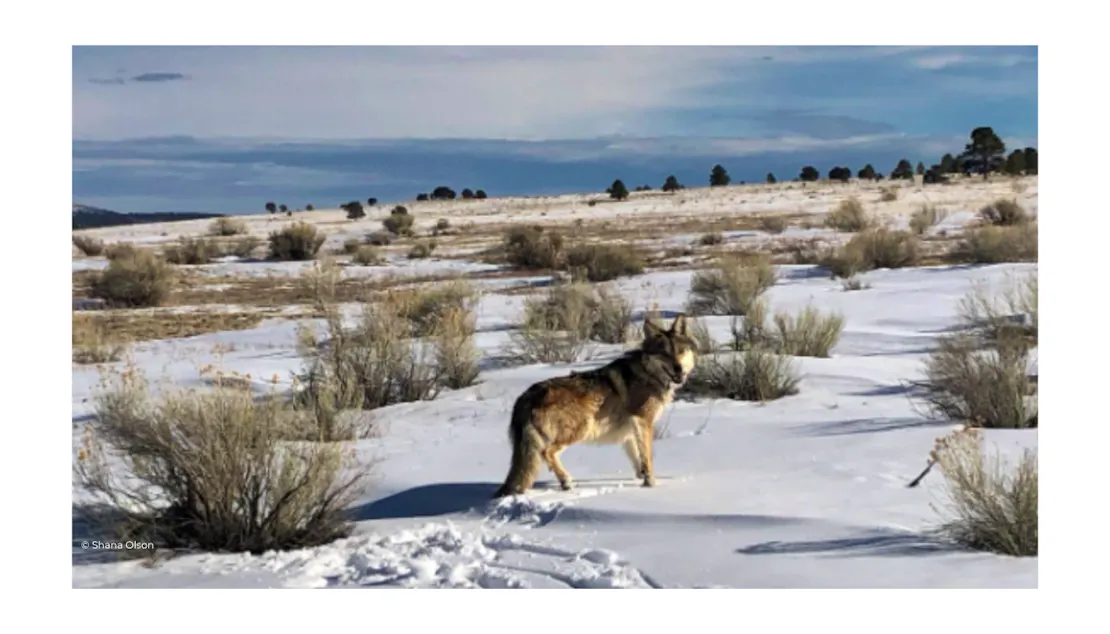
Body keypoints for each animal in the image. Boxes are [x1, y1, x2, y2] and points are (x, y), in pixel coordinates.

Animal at [493, 314, 698, 498]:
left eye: (680, 351)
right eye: (665, 354)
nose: (679, 369)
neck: (649, 375)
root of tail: (525, 396)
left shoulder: (629, 432)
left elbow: (638, 458)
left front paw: (642, 479)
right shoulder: (643, 421)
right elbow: (647, 457)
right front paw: (651, 484)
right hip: (581, 429)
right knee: (547, 452)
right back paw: (566, 481)